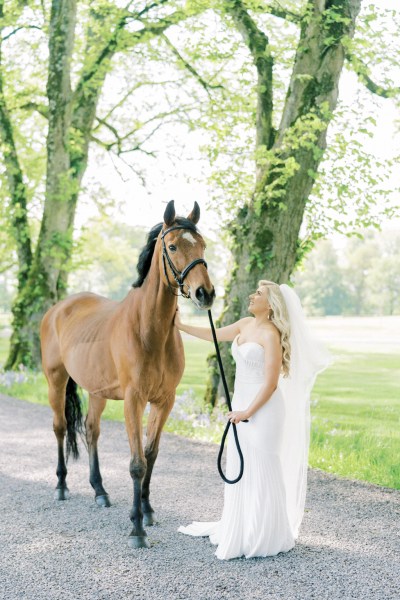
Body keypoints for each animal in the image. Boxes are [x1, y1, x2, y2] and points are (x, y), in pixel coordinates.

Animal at [40, 202, 214, 548]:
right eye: (172, 246)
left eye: (202, 245)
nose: (205, 293)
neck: (150, 330)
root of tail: (58, 309)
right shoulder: (134, 400)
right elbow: (136, 463)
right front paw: (136, 528)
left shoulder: (164, 401)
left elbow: (151, 455)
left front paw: (146, 511)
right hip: (56, 380)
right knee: (61, 428)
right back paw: (62, 486)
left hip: (96, 391)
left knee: (91, 431)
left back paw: (100, 491)